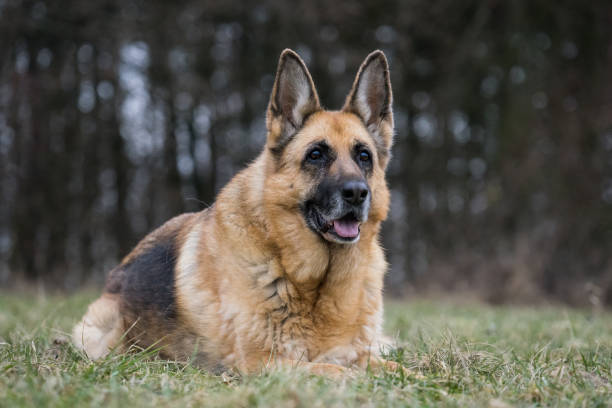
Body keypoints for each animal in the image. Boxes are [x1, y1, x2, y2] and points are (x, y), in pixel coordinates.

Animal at [73, 48, 396, 376]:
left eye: (364, 156)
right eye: (316, 155)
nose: (356, 193)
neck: (315, 283)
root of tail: (115, 277)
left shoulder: (360, 354)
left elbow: (396, 368)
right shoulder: (261, 361)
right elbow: (340, 371)